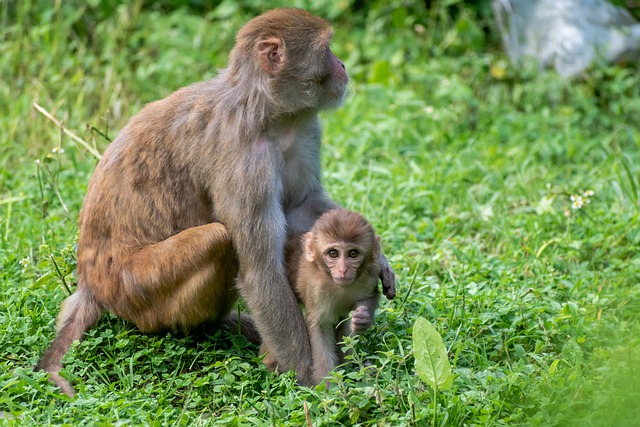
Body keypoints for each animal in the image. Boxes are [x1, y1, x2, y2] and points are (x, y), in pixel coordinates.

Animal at [260, 210, 380, 384]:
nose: (343, 270)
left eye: (353, 254)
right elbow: (320, 327)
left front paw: (363, 317)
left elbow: (372, 297)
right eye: (333, 253)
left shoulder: (369, 277)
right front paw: (328, 386)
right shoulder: (316, 289)